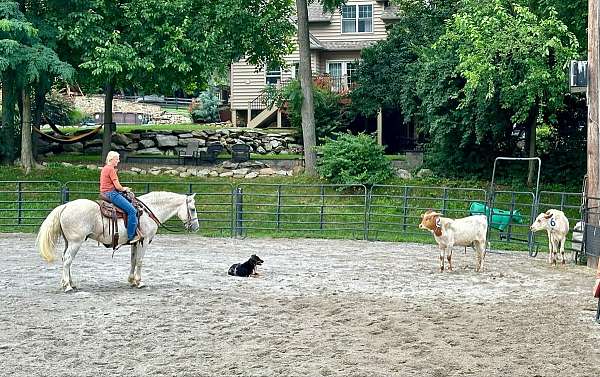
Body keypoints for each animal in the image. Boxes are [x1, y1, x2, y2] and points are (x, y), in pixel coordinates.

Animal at [36, 191, 200, 290]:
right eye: (192, 209)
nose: (196, 227)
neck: (148, 212)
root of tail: (65, 206)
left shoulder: (136, 242)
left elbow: (133, 260)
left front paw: (132, 280)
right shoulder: (145, 240)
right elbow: (140, 261)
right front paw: (140, 282)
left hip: (68, 242)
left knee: (66, 259)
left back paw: (71, 283)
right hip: (76, 242)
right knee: (68, 260)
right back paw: (67, 286)